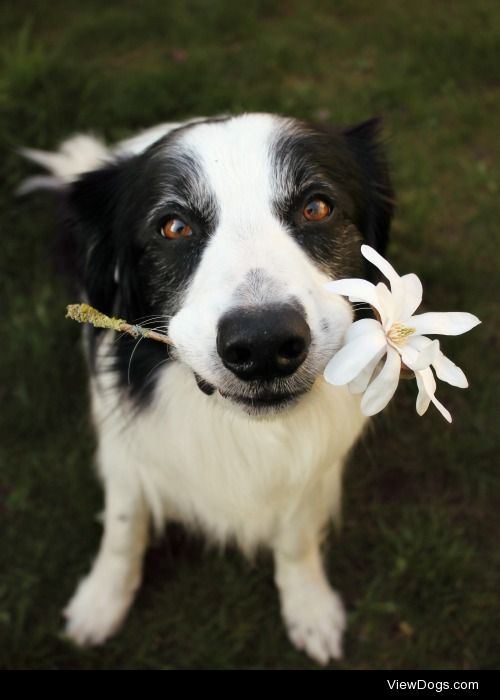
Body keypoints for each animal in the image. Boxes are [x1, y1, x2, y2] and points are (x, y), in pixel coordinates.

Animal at [21, 112, 392, 664]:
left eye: (317, 207)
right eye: (174, 226)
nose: (264, 344)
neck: (238, 428)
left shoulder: (312, 466)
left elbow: (297, 537)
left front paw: (309, 607)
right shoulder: (126, 452)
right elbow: (123, 527)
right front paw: (101, 602)